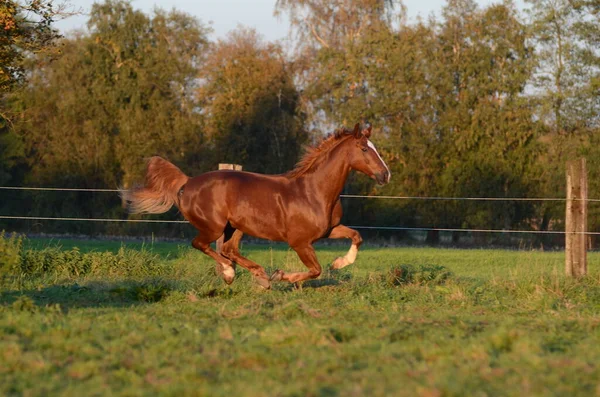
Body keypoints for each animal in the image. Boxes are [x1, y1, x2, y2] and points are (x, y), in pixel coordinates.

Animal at [123, 123, 394, 288]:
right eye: (363, 149)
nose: (385, 175)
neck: (314, 192)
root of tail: (187, 183)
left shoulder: (329, 230)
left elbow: (356, 236)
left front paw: (339, 263)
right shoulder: (300, 242)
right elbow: (316, 270)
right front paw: (282, 275)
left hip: (235, 227)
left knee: (228, 249)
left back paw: (259, 275)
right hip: (214, 226)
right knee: (202, 245)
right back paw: (234, 273)